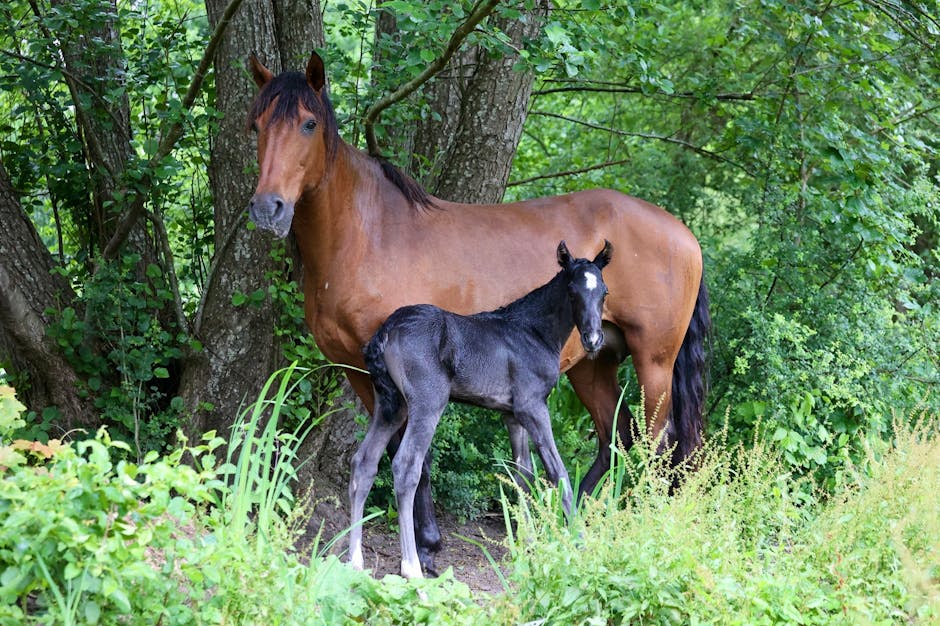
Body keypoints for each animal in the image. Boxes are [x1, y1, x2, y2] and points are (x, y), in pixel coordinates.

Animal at [348, 239, 612, 576]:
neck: (533, 332)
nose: (593, 339)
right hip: (427, 403)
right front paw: (578, 543)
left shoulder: (512, 415)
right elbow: (557, 471)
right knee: (406, 466)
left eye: (604, 291)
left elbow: (522, 472)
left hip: (390, 405)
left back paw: (354, 560)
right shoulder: (532, 406)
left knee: (364, 462)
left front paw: (526, 544)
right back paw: (412, 566)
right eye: (572, 291)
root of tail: (386, 330)